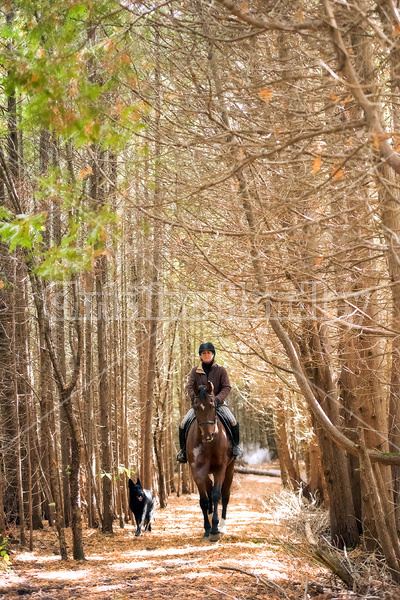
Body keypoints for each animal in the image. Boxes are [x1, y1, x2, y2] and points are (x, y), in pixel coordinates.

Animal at [187, 382, 234, 540]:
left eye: (213, 403)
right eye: (196, 405)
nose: (208, 435)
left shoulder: (221, 467)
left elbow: (216, 496)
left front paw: (215, 529)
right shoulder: (197, 470)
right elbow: (204, 499)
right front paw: (207, 528)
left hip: (230, 468)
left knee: (225, 495)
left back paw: (223, 525)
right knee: (209, 489)